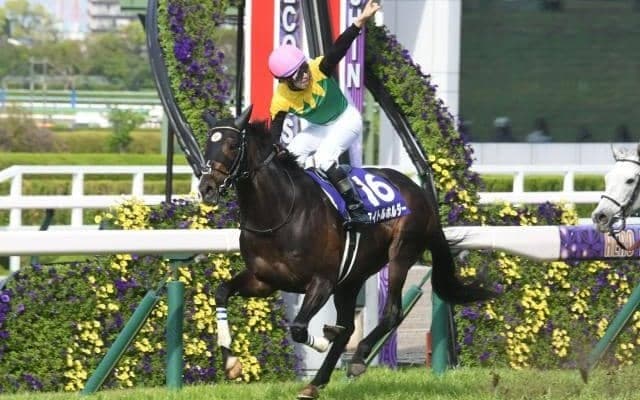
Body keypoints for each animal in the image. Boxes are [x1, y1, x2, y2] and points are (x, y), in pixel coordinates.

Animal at [197, 106, 496, 399]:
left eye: (232, 145)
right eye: (207, 144)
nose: (206, 187)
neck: (278, 213)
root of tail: (419, 193)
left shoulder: (322, 281)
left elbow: (298, 328)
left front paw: (321, 341)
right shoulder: (264, 280)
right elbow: (221, 292)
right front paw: (231, 363)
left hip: (400, 254)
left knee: (391, 312)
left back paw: (357, 358)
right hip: (352, 277)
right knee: (349, 326)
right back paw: (315, 382)